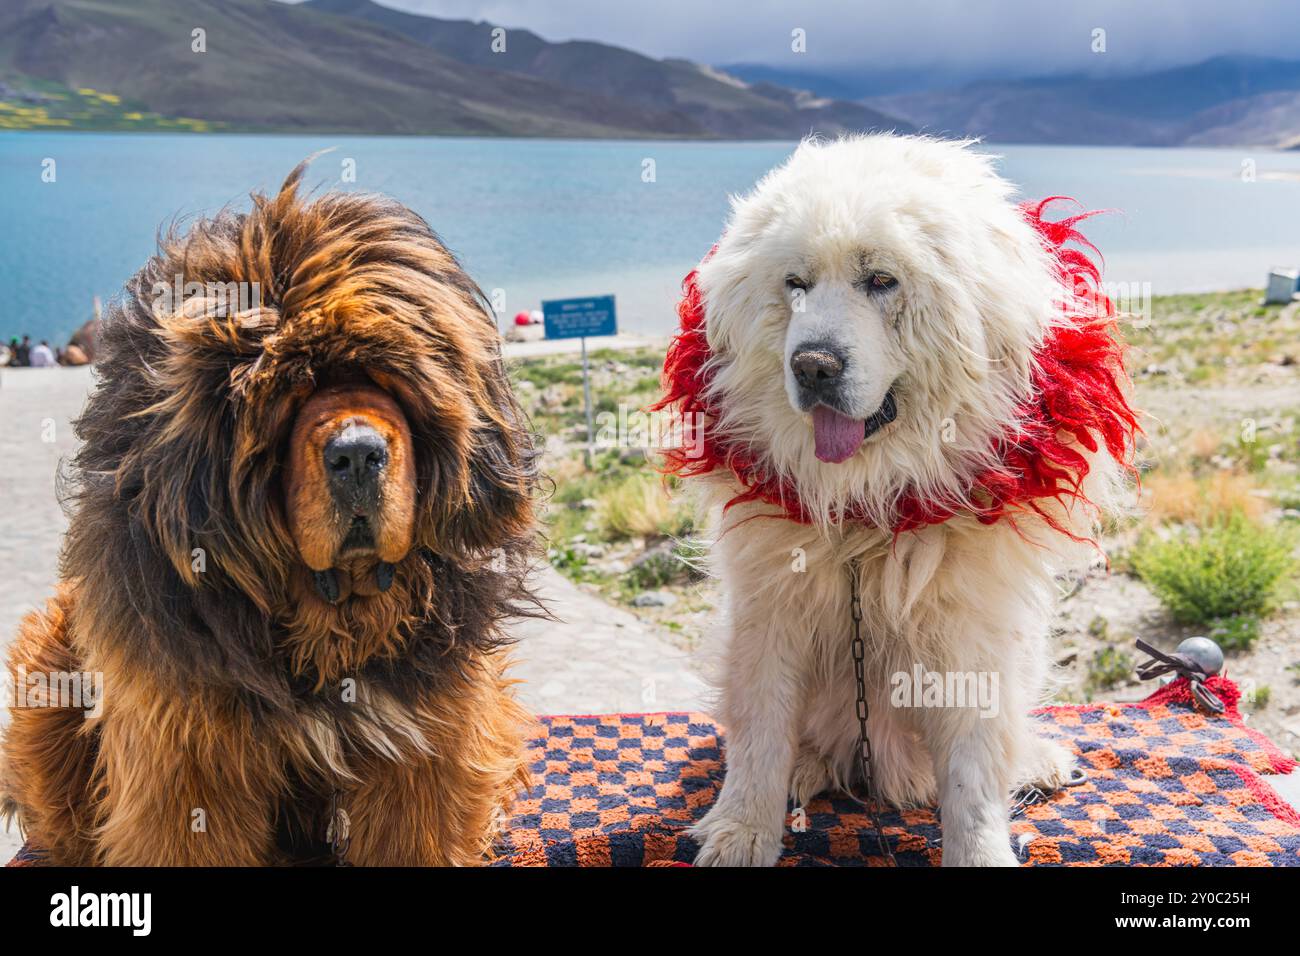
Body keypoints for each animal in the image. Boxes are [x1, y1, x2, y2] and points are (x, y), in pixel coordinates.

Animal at [1, 160, 538, 863]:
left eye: (386, 383)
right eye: (293, 392)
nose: (358, 455)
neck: (330, 615)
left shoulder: (425, 737)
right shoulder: (188, 745)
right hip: (48, 667)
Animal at [660, 134, 1138, 868]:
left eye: (881, 281)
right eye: (795, 285)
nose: (813, 366)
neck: (867, 510)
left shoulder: (970, 631)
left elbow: (972, 772)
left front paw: (980, 851)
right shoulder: (770, 610)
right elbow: (761, 733)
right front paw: (741, 832)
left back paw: (1036, 762)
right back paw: (808, 771)